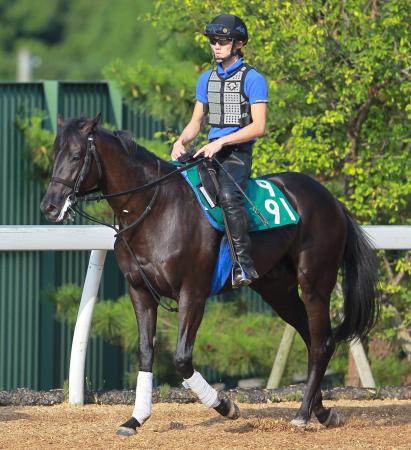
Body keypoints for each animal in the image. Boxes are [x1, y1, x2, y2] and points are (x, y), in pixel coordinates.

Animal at [40, 115, 378, 436]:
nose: (50, 206)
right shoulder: (141, 292)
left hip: (314, 284)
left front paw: (226, 406)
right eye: (55, 153)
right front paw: (135, 419)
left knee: (322, 343)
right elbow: (146, 353)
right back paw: (322, 411)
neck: (154, 209)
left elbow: (181, 359)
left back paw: (303, 414)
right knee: (311, 338)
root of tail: (333, 201)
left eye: (76, 155)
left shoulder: (193, 293)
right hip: (277, 289)